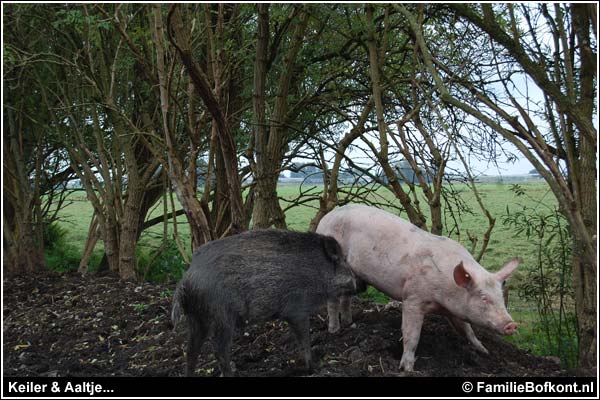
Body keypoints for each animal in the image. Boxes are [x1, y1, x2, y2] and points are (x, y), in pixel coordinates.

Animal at [171, 230, 356, 376]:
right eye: (344, 261)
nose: (358, 283)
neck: (318, 273)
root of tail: (186, 277)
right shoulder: (297, 309)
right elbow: (304, 339)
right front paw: (314, 368)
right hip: (221, 316)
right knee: (219, 351)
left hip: (196, 318)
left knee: (191, 351)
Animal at [316, 205, 516, 374]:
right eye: (483, 297)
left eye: (500, 297)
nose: (512, 325)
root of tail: (326, 217)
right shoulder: (412, 297)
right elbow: (411, 334)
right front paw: (407, 368)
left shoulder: (454, 311)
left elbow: (467, 330)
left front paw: (485, 351)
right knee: (331, 301)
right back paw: (334, 330)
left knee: (345, 297)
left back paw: (350, 324)